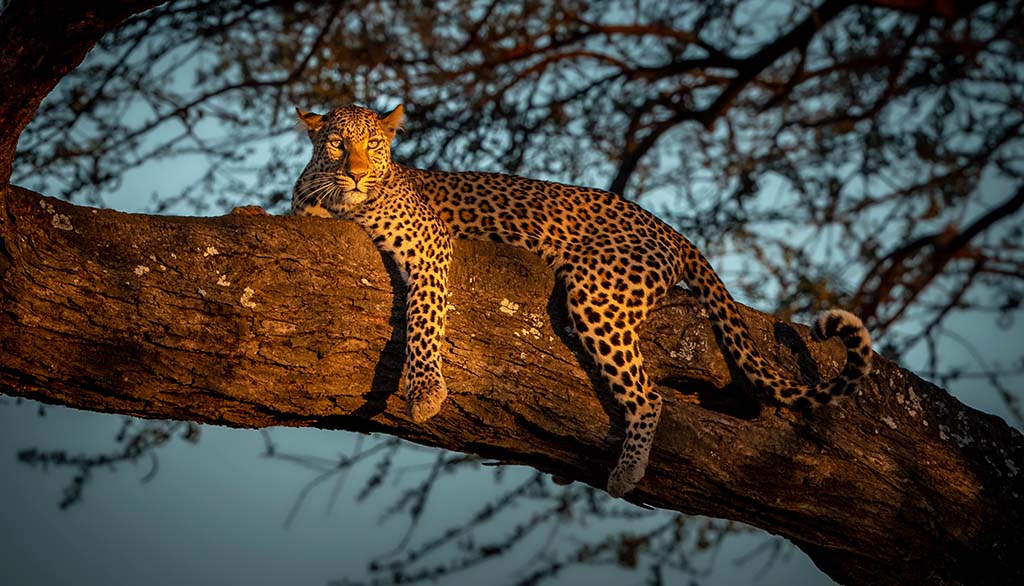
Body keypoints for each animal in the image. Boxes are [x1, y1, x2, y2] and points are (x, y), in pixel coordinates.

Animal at [292, 104, 873, 498]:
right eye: (338, 143)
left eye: (374, 144)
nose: (356, 173)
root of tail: (665, 225)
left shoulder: (432, 245)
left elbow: (424, 317)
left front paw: (426, 391)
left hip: (596, 290)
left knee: (649, 396)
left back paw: (627, 470)